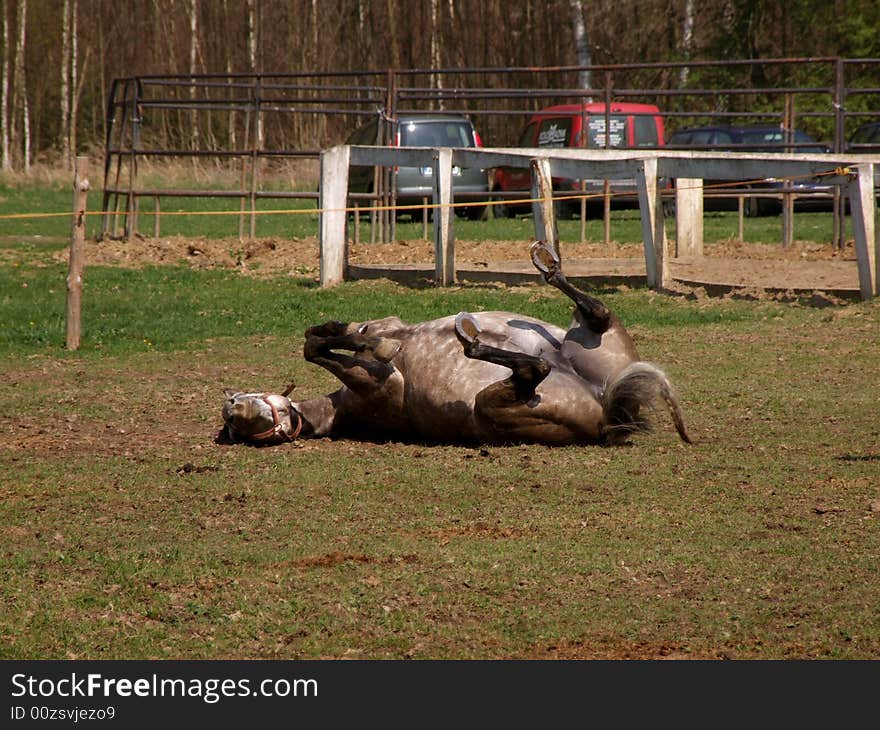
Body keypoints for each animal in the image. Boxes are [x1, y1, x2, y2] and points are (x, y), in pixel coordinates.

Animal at [217, 240, 692, 444]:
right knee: (534, 367)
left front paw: (356, 336)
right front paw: (378, 347)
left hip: (592, 344)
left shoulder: (382, 334)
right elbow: (334, 349)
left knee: (594, 313)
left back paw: (544, 267)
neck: (340, 408)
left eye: (234, 409)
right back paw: (474, 339)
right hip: (492, 405)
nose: (233, 410)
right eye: (235, 427)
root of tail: (610, 410)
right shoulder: (382, 386)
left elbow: (327, 340)